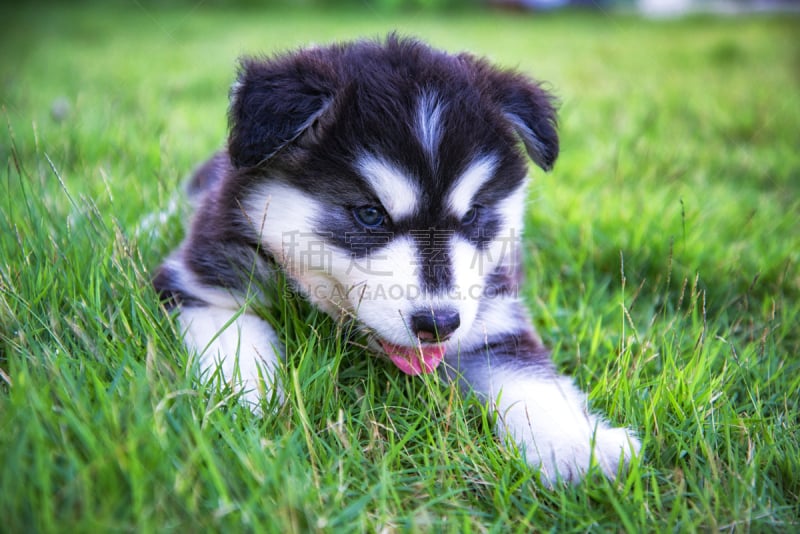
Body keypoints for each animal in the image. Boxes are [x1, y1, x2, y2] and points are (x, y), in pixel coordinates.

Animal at [156, 36, 640, 490]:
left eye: (473, 215)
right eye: (370, 215)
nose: (438, 324)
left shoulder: (494, 318)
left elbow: (532, 382)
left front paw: (576, 447)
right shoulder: (206, 284)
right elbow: (234, 342)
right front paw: (242, 410)